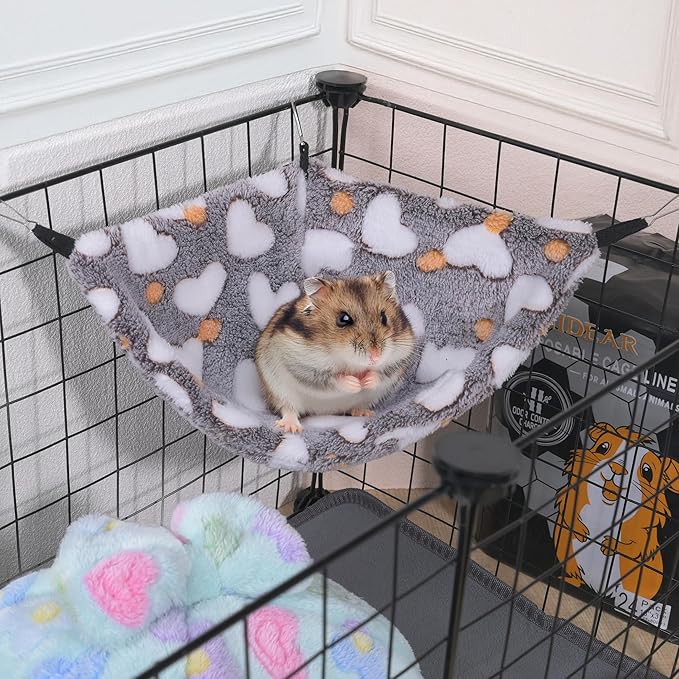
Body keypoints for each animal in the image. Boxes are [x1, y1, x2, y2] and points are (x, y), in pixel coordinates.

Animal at [255, 271, 415, 433]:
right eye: (343, 319)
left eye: (384, 317)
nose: (376, 357)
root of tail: (325, 412)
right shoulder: (302, 366)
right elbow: (333, 378)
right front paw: (356, 384)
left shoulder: (399, 358)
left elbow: (380, 374)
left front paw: (365, 381)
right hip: (279, 391)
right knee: (288, 408)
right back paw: (291, 427)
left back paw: (364, 412)